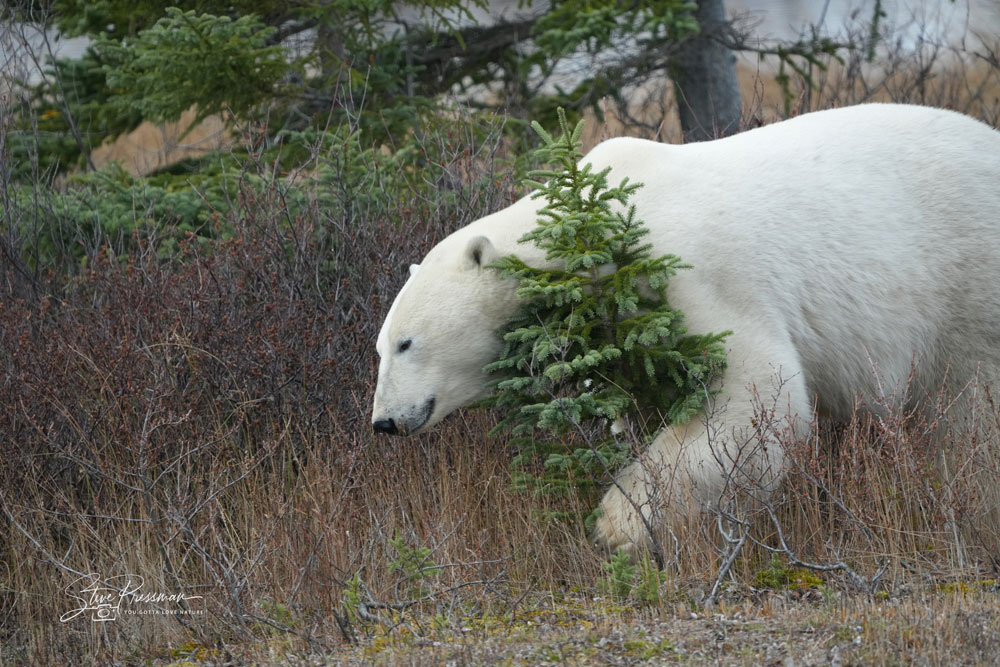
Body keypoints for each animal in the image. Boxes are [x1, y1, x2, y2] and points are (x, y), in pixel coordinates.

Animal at [371, 103, 1000, 555]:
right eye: (380, 347)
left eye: (407, 343)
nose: (384, 422)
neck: (601, 224)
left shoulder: (696, 274)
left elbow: (754, 392)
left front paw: (620, 525)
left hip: (964, 279)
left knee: (970, 403)